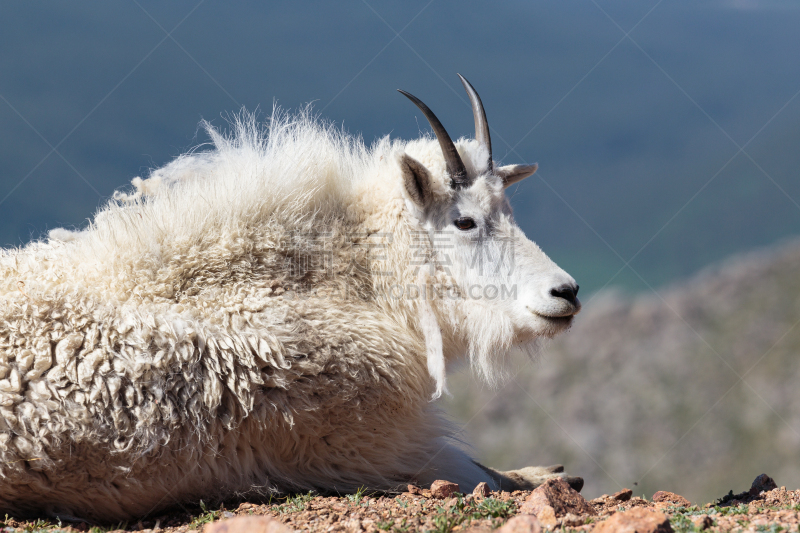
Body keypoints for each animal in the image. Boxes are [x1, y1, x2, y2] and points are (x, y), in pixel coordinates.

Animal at [0, 75, 580, 520]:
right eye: (465, 221)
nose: (566, 292)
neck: (353, 281)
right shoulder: (380, 443)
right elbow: (484, 472)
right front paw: (547, 473)